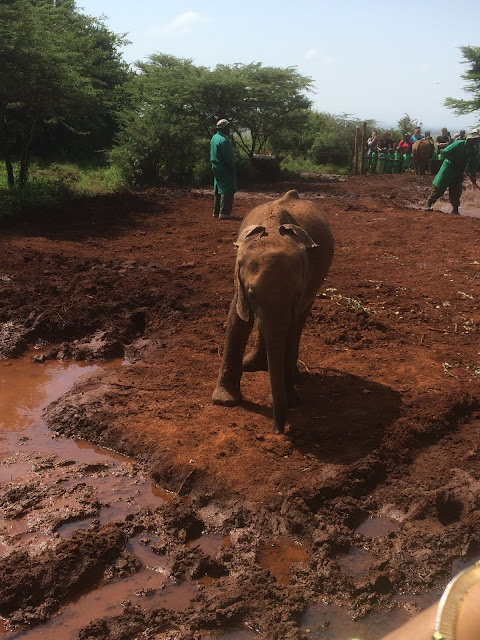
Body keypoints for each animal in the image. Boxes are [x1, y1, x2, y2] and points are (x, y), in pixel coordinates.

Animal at [214, 188, 334, 432]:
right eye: (251, 294)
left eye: (297, 293)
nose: (278, 430)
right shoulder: (239, 279)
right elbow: (238, 320)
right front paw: (224, 401)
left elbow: (291, 328)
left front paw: (292, 401)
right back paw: (253, 366)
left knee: (299, 324)